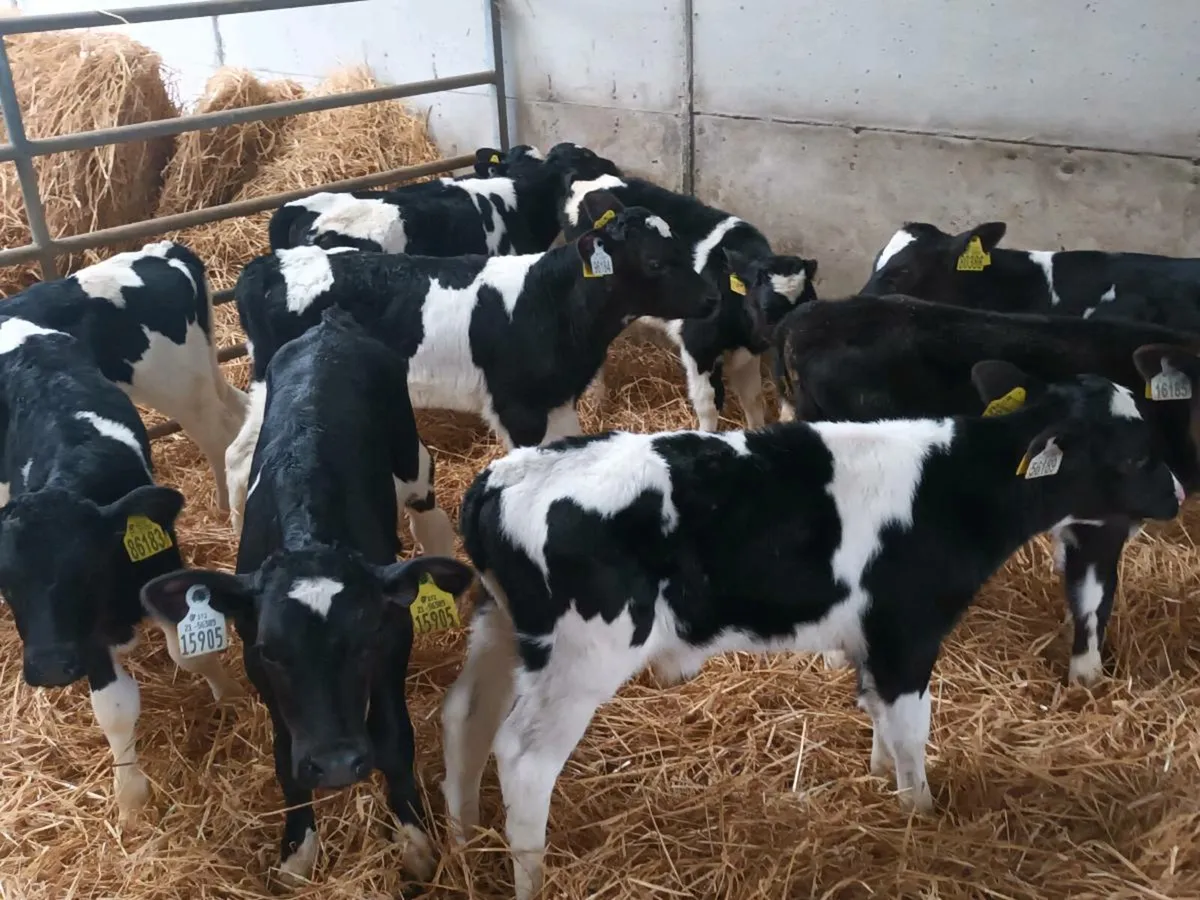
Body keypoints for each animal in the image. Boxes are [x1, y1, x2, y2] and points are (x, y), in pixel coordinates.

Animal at [0, 315, 240, 820]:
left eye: (87, 570)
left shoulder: (165, 574)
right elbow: (113, 707)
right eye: (5, 584)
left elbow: (192, 652)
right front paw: (130, 801)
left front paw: (229, 696)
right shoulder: (86, 639)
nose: (50, 668)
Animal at [141, 307, 474, 883]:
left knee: (426, 506)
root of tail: (330, 325)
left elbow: (393, 739)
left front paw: (413, 841)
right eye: (274, 651)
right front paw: (298, 850)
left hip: (411, 460)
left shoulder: (394, 640)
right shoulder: (260, 669)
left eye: (364, 642)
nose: (337, 764)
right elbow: (284, 757)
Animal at [224, 190, 722, 529]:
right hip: (269, 387)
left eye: (682, 246)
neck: (548, 303)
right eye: (655, 262)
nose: (714, 297)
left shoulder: (555, 399)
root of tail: (265, 266)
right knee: (237, 456)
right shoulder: (516, 408)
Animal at [773, 293, 1200, 683]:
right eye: (1133, 458)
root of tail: (807, 319)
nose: (1177, 495)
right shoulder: (1101, 520)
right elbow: (1094, 599)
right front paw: (1086, 679)